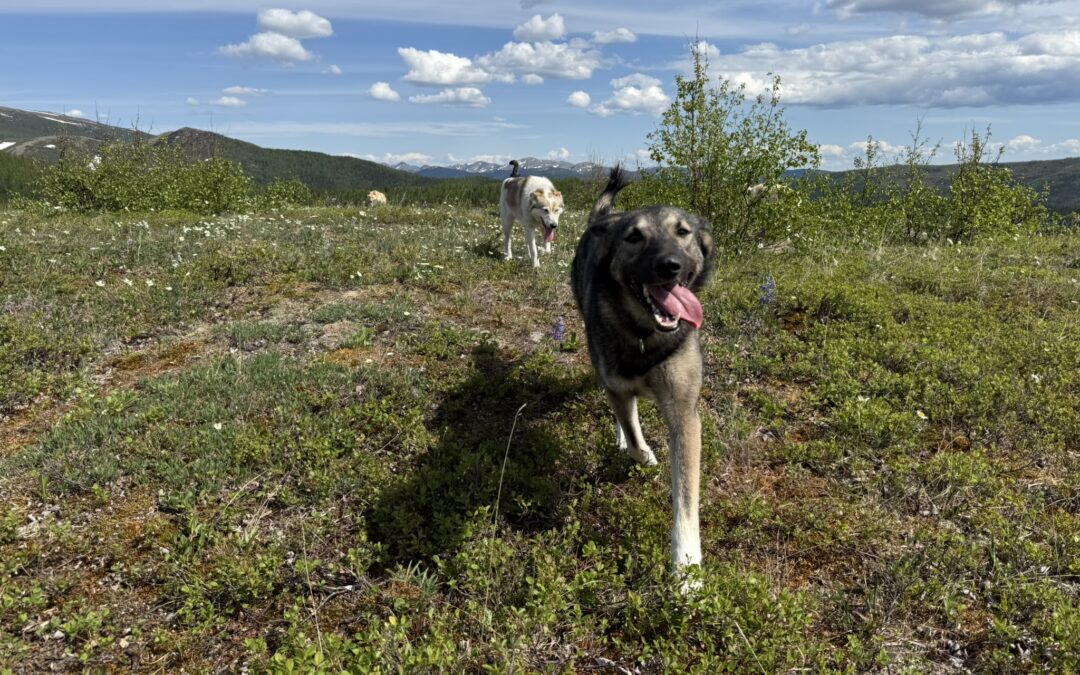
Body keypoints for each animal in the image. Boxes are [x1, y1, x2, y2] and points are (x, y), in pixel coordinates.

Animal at [571, 166, 715, 577]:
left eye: (683, 232)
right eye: (634, 237)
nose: (670, 265)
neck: (644, 334)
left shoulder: (684, 414)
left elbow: (686, 499)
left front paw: (686, 572)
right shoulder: (618, 387)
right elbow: (635, 438)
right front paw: (646, 455)